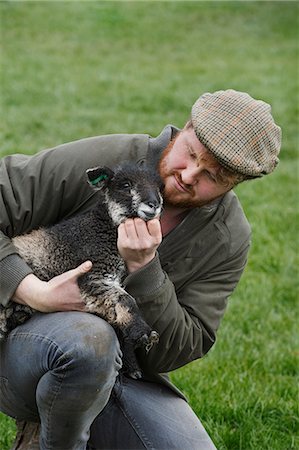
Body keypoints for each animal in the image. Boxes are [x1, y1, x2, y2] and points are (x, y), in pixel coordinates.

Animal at [0, 163, 164, 378]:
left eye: (159, 187)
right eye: (125, 185)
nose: (153, 204)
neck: (102, 228)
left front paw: (132, 366)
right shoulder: (93, 275)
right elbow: (126, 300)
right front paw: (144, 333)